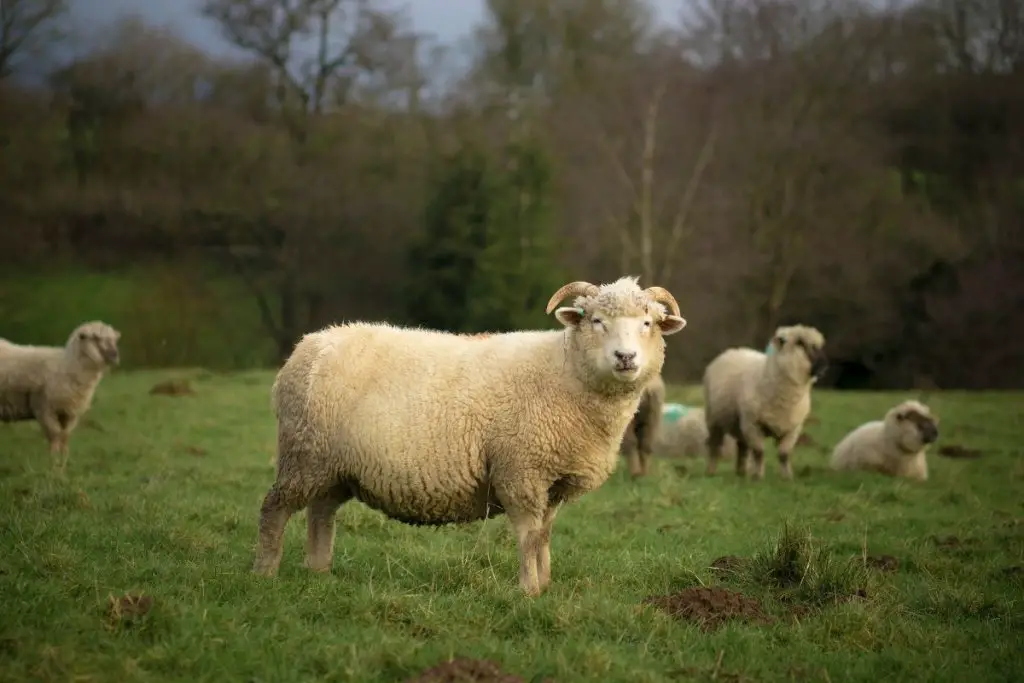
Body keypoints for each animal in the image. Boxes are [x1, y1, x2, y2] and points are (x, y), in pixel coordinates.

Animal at [0, 321, 121, 471]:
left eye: (114, 339)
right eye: (95, 338)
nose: (114, 355)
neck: (67, 366)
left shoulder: (69, 412)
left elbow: (64, 437)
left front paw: (64, 463)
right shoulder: (44, 409)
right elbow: (55, 437)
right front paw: (53, 464)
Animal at [252, 274, 688, 593]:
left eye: (648, 323)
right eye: (597, 321)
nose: (625, 357)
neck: (565, 373)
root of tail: (307, 346)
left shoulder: (552, 481)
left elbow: (544, 536)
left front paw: (545, 584)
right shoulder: (520, 471)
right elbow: (528, 535)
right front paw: (528, 591)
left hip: (334, 465)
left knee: (321, 513)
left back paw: (319, 571)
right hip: (305, 452)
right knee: (275, 509)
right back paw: (265, 573)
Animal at [700, 325, 827, 481]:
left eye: (819, 346)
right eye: (800, 343)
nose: (824, 366)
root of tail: (735, 350)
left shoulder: (793, 428)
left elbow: (784, 454)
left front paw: (787, 477)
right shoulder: (753, 424)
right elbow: (759, 452)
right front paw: (758, 476)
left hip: (740, 425)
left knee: (742, 447)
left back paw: (741, 472)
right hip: (715, 420)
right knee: (715, 445)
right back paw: (711, 471)